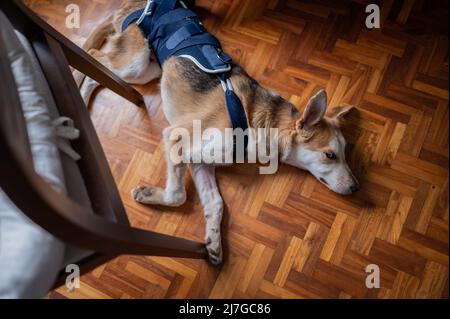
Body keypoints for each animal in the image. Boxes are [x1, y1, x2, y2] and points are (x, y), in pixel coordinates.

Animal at [75, 0, 360, 264]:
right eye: (330, 155)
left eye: (345, 153)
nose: (357, 188)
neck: (259, 122)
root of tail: (132, 3)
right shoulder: (176, 137)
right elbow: (178, 194)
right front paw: (148, 195)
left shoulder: (200, 160)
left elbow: (215, 203)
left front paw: (213, 242)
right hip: (136, 63)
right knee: (94, 55)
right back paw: (78, 93)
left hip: (151, 69)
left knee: (97, 69)